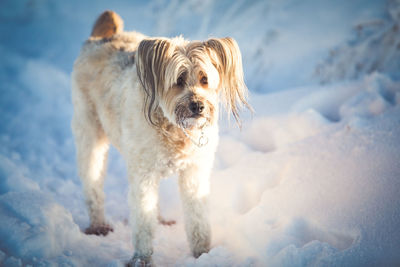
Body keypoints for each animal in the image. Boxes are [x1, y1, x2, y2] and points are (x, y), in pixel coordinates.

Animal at [70, 9, 248, 266]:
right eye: (179, 79)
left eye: (205, 79)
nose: (198, 106)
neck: (174, 127)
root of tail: (99, 39)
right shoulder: (142, 174)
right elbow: (143, 219)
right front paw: (142, 258)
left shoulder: (195, 172)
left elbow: (198, 218)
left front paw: (203, 253)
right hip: (89, 133)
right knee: (92, 182)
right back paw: (98, 225)